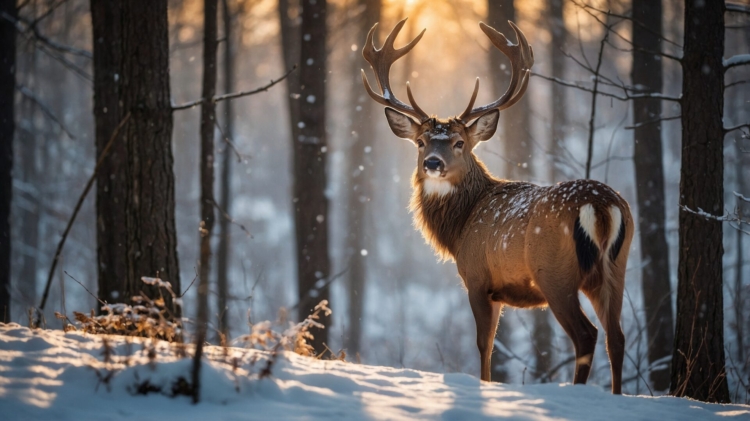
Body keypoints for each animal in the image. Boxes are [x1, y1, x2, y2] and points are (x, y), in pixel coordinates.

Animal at [361, 19, 634, 394]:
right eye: (420, 142)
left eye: (459, 142)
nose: (432, 163)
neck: (460, 227)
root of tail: (602, 204)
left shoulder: (477, 277)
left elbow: (484, 343)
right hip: (614, 268)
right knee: (617, 336)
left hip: (556, 273)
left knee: (586, 335)